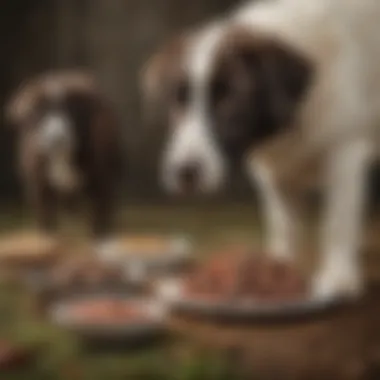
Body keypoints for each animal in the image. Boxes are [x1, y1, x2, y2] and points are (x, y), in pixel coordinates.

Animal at [6, 70, 124, 239]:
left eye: (71, 109)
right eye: (40, 110)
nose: (55, 138)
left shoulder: (103, 181)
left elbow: (100, 221)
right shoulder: (39, 185)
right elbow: (46, 221)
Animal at [142, 0, 380, 298]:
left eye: (229, 97)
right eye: (178, 98)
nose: (185, 173)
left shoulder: (345, 150)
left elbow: (337, 220)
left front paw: (338, 278)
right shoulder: (273, 174)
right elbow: (284, 224)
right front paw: (279, 269)